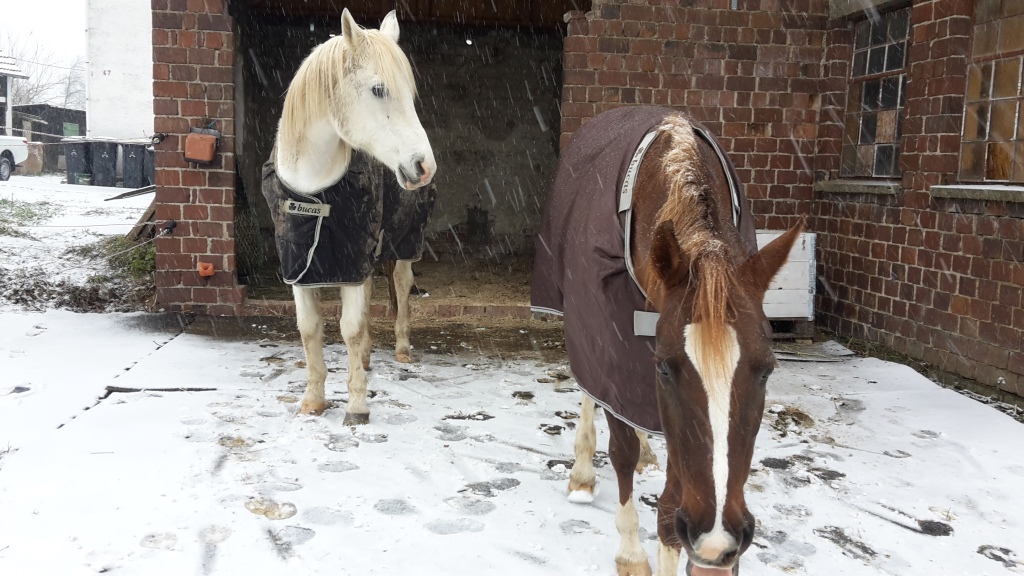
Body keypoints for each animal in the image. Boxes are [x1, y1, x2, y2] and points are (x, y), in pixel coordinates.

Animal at [263, 9, 435, 426]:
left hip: (403, 242)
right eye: (378, 89)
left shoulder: (353, 255)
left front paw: (357, 406)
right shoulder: (300, 265)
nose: (424, 166)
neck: (314, 193)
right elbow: (310, 329)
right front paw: (312, 401)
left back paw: (401, 348)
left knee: (402, 286)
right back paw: (370, 359)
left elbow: (350, 328)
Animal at [531, 105, 802, 576]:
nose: (719, 538)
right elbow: (619, 445)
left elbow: (674, 502)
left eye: (768, 369)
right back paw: (583, 473)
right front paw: (631, 555)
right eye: (665, 367)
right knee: (587, 393)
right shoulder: (611, 347)